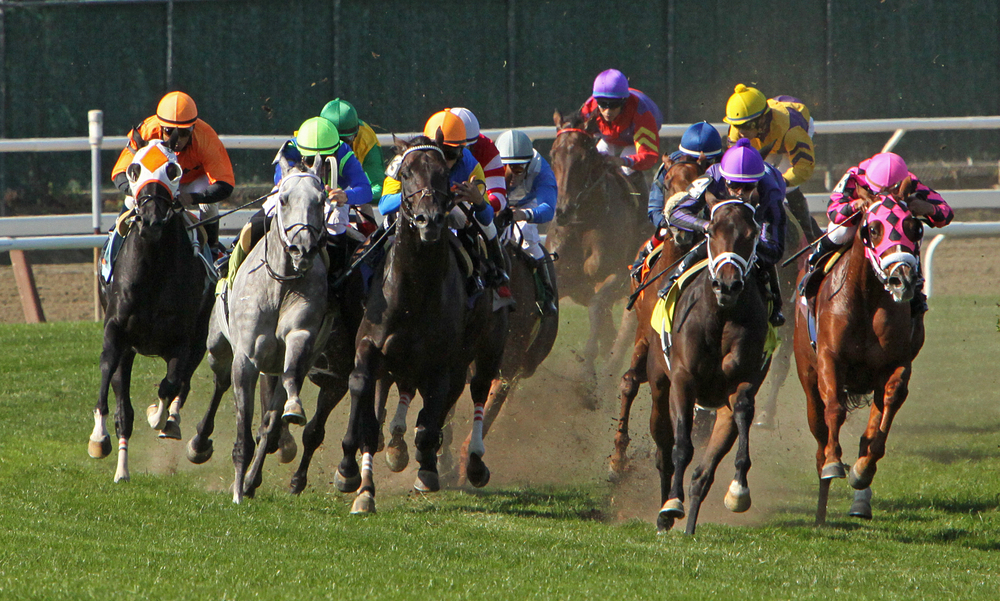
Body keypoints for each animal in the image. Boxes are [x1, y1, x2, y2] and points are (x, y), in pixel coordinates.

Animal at [90, 138, 215, 480]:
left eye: (173, 170)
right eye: (135, 169)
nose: (152, 220)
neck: (153, 271)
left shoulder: (183, 339)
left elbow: (171, 383)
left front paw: (159, 418)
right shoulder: (116, 330)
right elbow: (107, 370)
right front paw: (99, 437)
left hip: (200, 337)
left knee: (182, 382)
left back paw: (170, 422)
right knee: (124, 401)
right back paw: (122, 469)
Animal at [336, 135, 508, 510]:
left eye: (443, 173)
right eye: (405, 173)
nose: (428, 220)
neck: (414, 288)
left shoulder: (440, 360)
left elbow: (433, 416)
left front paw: (427, 469)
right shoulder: (370, 346)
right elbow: (362, 390)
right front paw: (354, 476)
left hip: (487, 346)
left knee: (475, 390)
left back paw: (471, 462)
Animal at [548, 111, 648, 404]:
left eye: (583, 158)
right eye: (553, 155)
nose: (563, 211)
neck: (584, 223)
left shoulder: (616, 276)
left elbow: (596, 309)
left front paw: (587, 378)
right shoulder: (564, 280)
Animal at [648, 198, 772, 536]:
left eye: (751, 234)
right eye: (711, 231)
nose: (727, 285)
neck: (720, 316)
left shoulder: (742, 382)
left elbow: (741, 410)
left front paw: (738, 491)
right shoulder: (683, 380)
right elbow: (681, 446)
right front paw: (671, 504)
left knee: (703, 474)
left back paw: (690, 525)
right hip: (658, 382)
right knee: (664, 446)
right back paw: (665, 511)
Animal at [796, 185, 928, 524]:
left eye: (915, 227)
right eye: (873, 228)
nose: (902, 280)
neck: (867, 297)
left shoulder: (896, 363)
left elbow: (885, 412)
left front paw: (862, 470)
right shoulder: (830, 359)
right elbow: (834, 410)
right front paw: (834, 462)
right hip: (807, 377)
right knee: (819, 430)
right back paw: (820, 509)